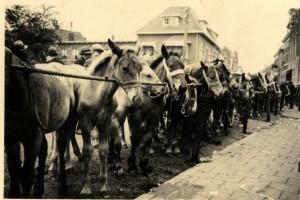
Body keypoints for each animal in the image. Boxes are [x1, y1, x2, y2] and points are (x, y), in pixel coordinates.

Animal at [4, 39, 143, 198]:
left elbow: (103, 150)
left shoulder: (106, 123)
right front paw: (86, 187)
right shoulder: (86, 123)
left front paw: (103, 185)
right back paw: (56, 166)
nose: (138, 99)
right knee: (59, 141)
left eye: (140, 68)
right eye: (125, 68)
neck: (97, 93)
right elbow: (88, 150)